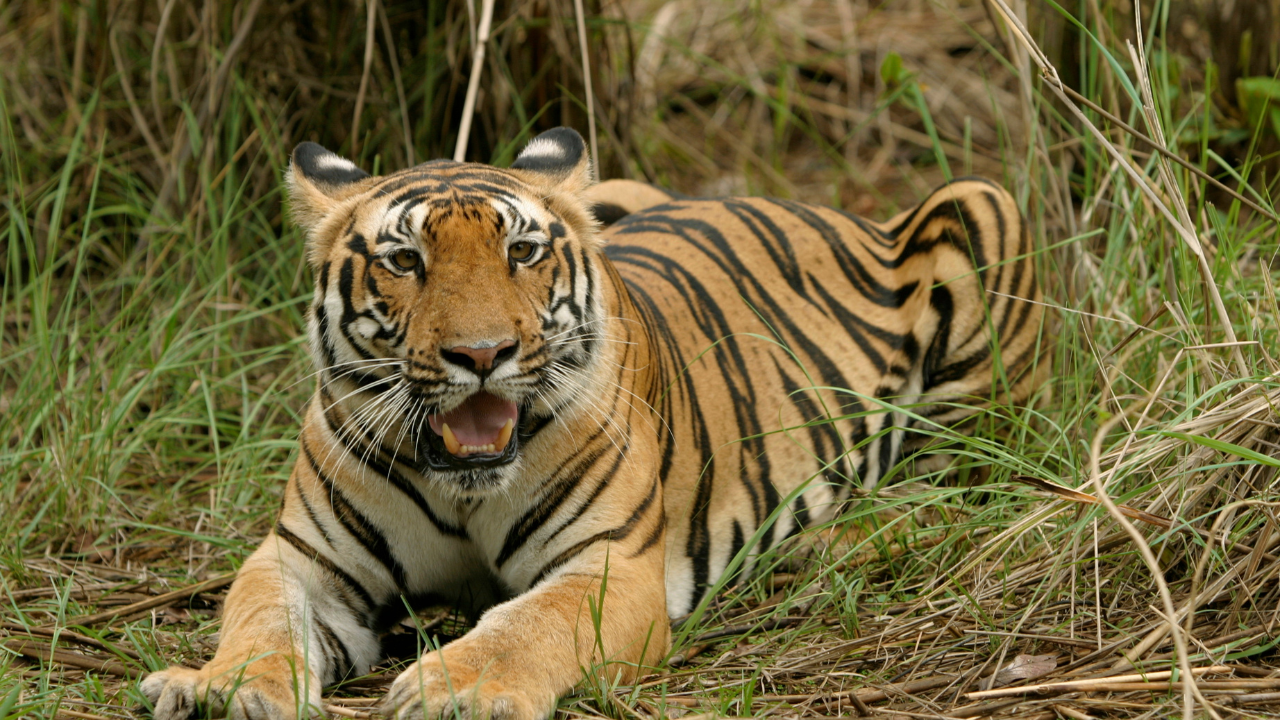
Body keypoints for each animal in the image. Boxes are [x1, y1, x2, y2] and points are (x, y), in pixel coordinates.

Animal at [142, 127, 1039, 717]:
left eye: (522, 253)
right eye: (404, 261)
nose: (481, 354)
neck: (463, 485)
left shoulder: (611, 564)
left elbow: (529, 624)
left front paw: (454, 688)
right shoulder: (304, 560)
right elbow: (261, 620)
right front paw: (217, 688)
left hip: (985, 210)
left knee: (968, 477)